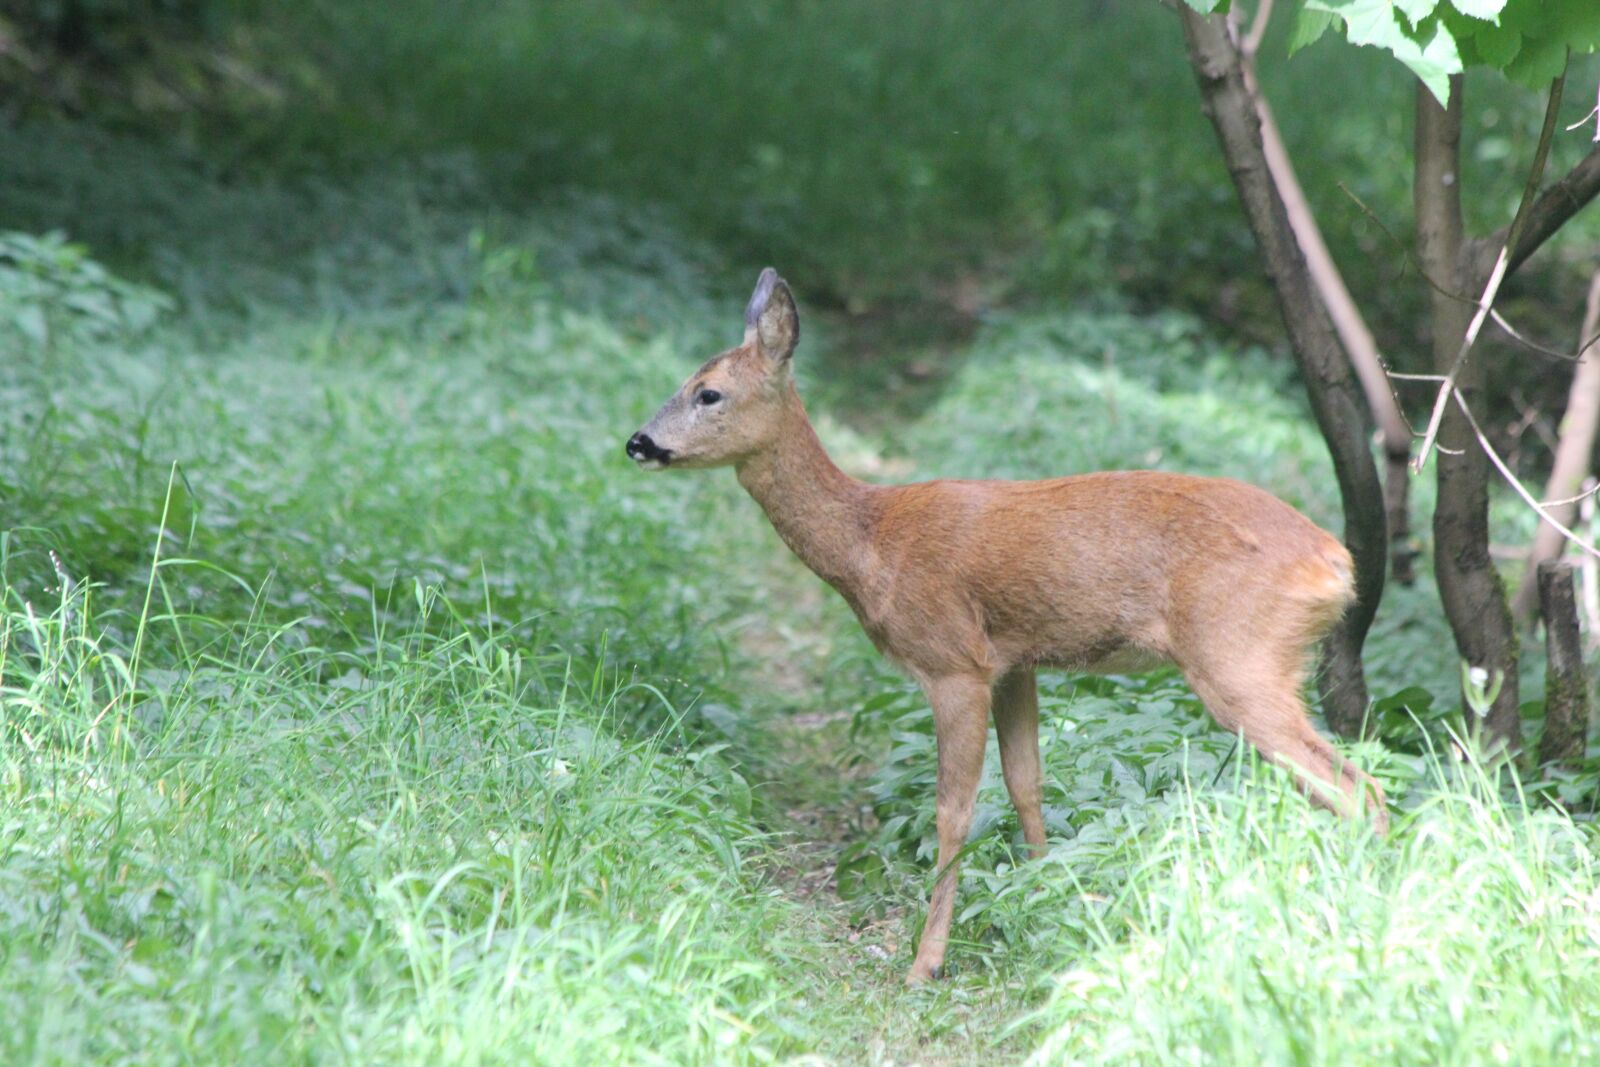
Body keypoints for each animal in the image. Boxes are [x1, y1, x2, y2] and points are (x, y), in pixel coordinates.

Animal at [626, 268, 1389, 984]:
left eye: (708, 393)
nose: (638, 442)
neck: (872, 542)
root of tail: (1335, 561)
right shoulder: (1014, 664)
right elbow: (1027, 782)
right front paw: (1049, 896)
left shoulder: (951, 662)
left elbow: (953, 808)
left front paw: (926, 960)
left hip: (1240, 657)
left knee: (1358, 788)